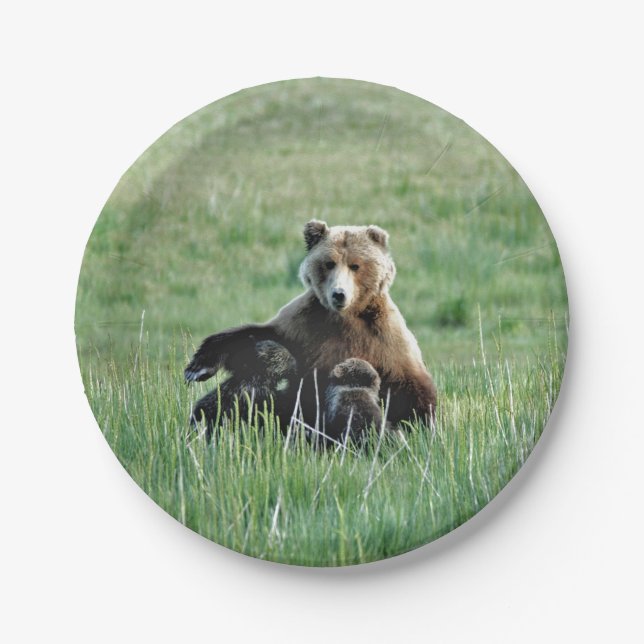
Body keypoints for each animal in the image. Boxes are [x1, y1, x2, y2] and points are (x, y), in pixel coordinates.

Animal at [185, 220, 436, 434]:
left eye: (355, 265)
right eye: (329, 263)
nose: (339, 294)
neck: (345, 317)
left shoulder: (384, 338)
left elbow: (412, 389)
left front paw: (423, 428)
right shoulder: (305, 326)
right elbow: (257, 340)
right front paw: (198, 368)